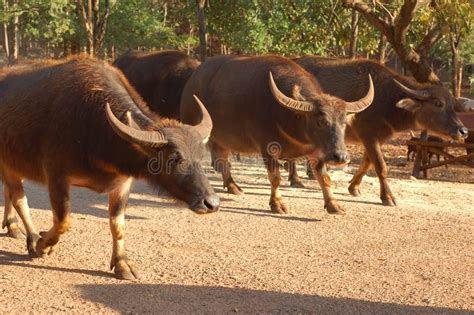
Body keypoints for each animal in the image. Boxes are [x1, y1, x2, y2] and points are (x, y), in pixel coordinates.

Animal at [0, 56, 218, 278]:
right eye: (174, 158)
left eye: (201, 156)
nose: (212, 203)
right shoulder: (56, 175)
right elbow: (63, 220)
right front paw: (43, 245)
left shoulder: (123, 184)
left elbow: (118, 224)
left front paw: (122, 264)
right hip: (8, 163)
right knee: (19, 199)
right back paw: (32, 237)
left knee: (9, 193)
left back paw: (13, 226)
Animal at [179, 56, 374, 215]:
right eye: (321, 122)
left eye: (343, 122)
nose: (341, 157)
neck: (288, 116)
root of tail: (191, 81)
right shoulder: (268, 149)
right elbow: (275, 178)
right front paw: (277, 204)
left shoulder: (317, 151)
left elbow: (325, 178)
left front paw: (334, 205)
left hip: (223, 139)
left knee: (222, 160)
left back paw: (233, 186)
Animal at [286, 56, 468, 207]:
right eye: (438, 103)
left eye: (453, 105)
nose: (463, 131)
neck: (386, 100)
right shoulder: (369, 135)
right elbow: (381, 166)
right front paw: (388, 197)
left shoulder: (375, 138)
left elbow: (367, 162)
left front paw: (354, 187)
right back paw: (295, 179)